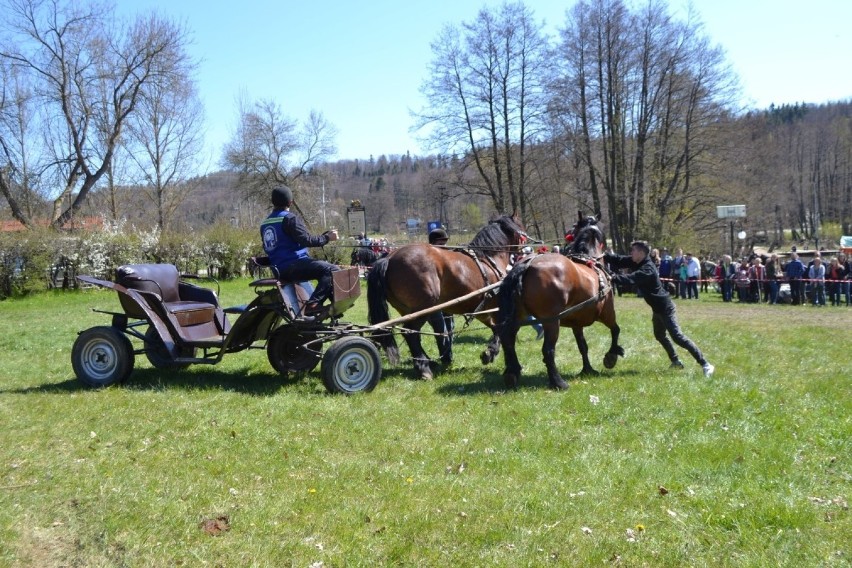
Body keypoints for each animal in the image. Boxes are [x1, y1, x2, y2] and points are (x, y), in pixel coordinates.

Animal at [366, 215, 524, 380]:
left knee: (414, 335)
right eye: (520, 226)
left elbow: (495, 327)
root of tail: (390, 258)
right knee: (410, 332)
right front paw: (493, 352)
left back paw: (429, 361)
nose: (524, 249)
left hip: (407, 311)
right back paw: (423, 367)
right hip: (424, 307)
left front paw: (489, 352)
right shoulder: (493, 305)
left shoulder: (481, 307)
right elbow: (501, 328)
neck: (489, 259)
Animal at [496, 215, 624, 388]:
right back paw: (558, 382)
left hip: (517, 317)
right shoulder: (607, 313)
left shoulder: (577, 323)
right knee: (548, 350)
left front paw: (588, 369)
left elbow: (583, 346)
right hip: (551, 321)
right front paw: (612, 355)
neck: (588, 260)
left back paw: (512, 372)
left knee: (508, 340)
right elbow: (615, 330)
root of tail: (526, 265)